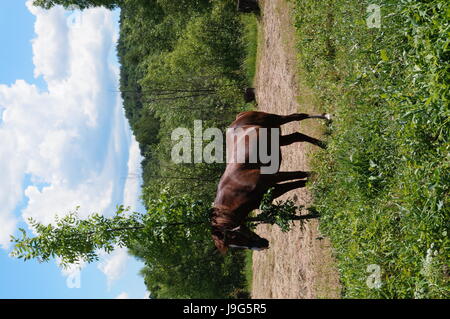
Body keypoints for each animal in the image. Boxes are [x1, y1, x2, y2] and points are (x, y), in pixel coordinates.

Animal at [211, 111, 330, 254]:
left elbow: (299, 174)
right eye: (234, 245)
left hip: (276, 120)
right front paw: (317, 183)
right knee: (297, 136)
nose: (263, 245)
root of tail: (239, 117)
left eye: (235, 236)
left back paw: (327, 118)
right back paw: (324, 144)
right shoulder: (275, 189)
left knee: (298, 117)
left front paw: (321, 174)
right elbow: (299, 183)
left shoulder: (274, 177)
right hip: (279, 139)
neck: (236, 188)